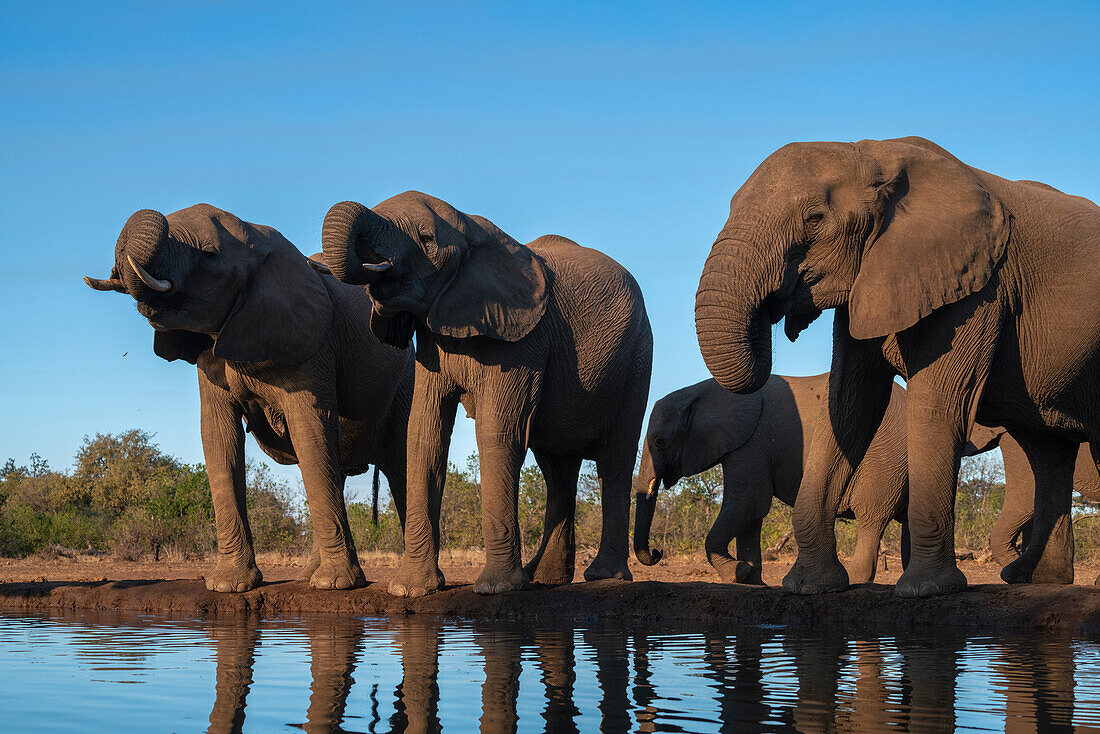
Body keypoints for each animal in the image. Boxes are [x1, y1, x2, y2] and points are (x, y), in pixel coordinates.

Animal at [82, 205, 413, 589]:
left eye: (208, 254)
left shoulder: (311, 344)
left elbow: (310, 429)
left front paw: (336, 585)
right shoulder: (211, 356)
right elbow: (219, 437)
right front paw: (229, 585)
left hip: (406, 381)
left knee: (401, 465)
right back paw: (308, 577)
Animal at [321, 191, 651, 598]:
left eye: (427, 239)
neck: (471, 228)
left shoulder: (522, 340)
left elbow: (498, 432)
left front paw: (496, 589)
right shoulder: (432, 342)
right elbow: (424, 434)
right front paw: (409, 590)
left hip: (637, 358)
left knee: (614, 460)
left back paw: (603, 576)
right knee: (557, 469)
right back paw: (544, 578)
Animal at [695, 136, 1100, 598]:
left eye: (815, 219)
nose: (776, 311)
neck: (872, 154)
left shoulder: (978, 287)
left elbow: (939, 403)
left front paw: (927, 589)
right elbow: (849, 404)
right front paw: (809, 586)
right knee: (1047, 452)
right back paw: (1038, 579)